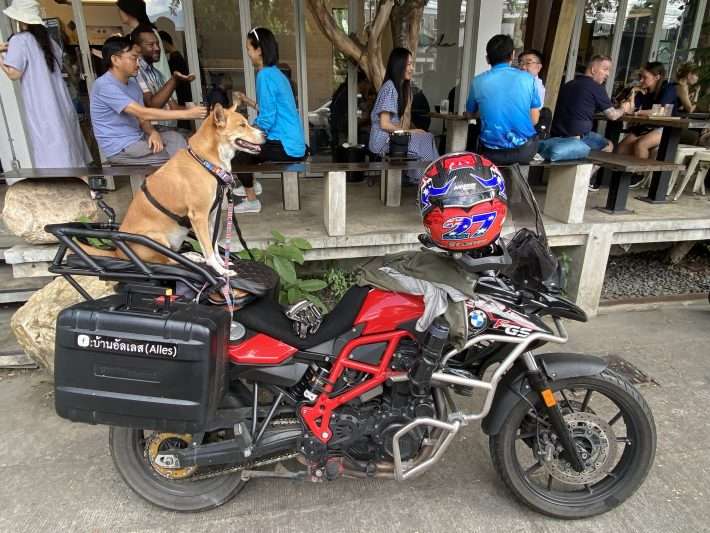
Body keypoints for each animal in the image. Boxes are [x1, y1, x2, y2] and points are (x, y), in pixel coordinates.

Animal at [86, 103, 264, 274]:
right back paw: (191, 260)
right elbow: (208, 249)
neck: (204, 161)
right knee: (169, 262)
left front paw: (222, 263)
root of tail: (117, 252)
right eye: (242, 125)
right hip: (156, 239)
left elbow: (213, 245)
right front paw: (219, 270)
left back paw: (191, 255)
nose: (264, 135)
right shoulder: (199, 216)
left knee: (174, 255)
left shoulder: (212, 215)